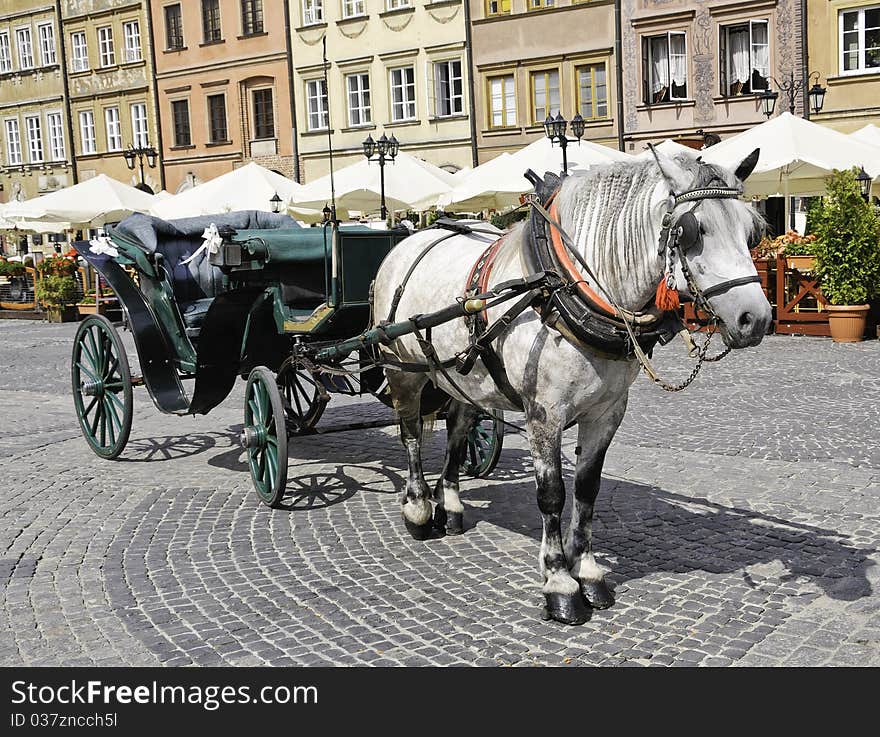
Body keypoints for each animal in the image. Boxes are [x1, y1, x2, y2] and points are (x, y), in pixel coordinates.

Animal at [372, 152, 768, 624]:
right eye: (693, 231)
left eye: (752, 231)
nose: (756, 319)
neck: (564, 285)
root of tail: (408, 242)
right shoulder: (544, 414)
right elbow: (552, 495)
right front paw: (560, 582)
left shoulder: (608, 412)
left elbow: (586, 488)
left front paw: (589, 572)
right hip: (403, 368)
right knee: (411, 433)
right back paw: (417, 508)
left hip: (463, 376)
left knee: (458, 428)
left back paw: (448, 505)